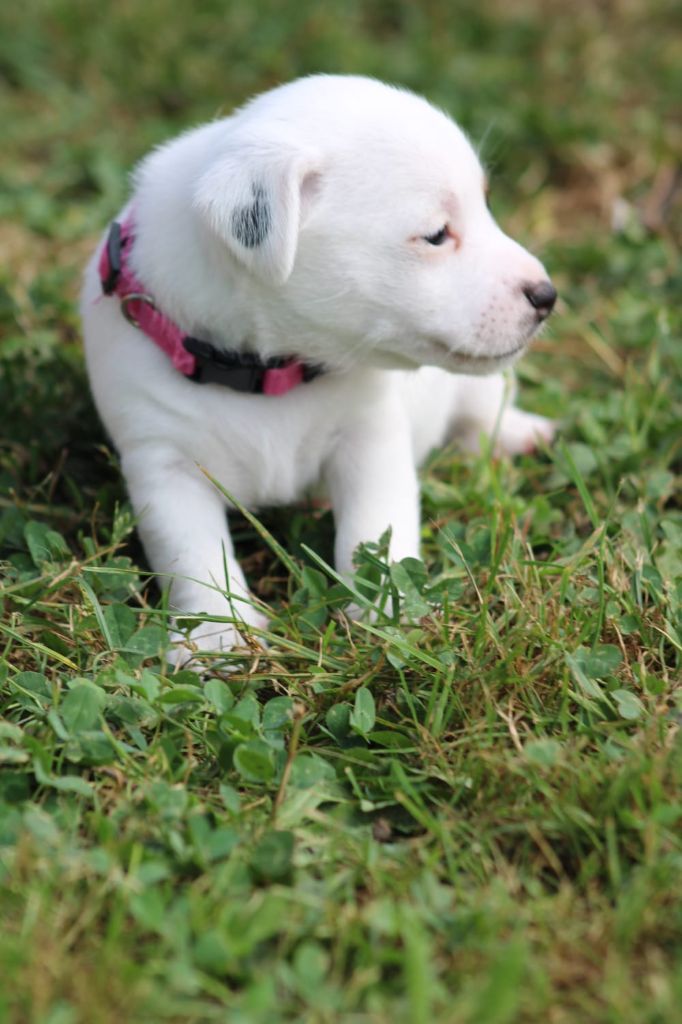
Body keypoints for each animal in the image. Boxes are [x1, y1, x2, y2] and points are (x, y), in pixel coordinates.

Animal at [82, 74, 557, 663]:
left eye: (486, 206)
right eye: (436, 234)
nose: (547, 295)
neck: (267, 372)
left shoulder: (370, 439)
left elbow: (376, 527)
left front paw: (386, 615)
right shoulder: (163, 463)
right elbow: (193, 553)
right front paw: (217, 636)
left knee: (485, 411)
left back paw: (520, 435)